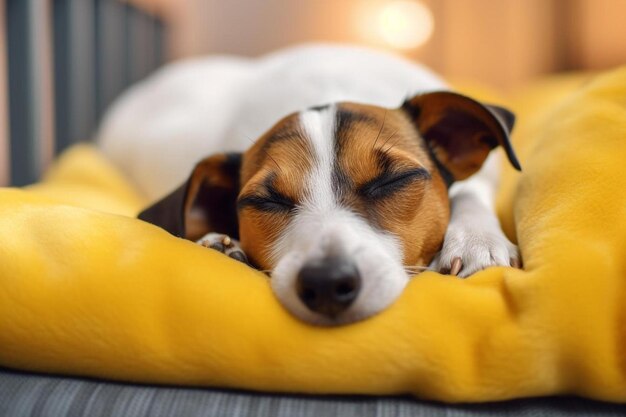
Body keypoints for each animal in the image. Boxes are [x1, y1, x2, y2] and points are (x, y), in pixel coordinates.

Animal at [96, 45, 516, 324]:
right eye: (267, 200)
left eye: (392, 180)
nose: (328, 283)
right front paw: (218, 242)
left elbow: (471, 194)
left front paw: (478, 241)